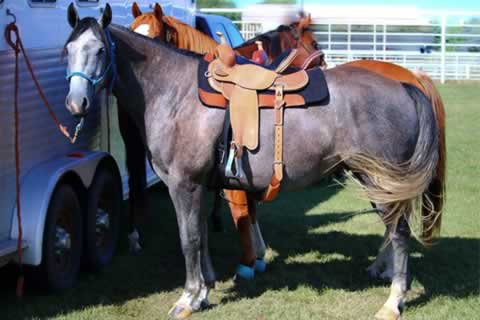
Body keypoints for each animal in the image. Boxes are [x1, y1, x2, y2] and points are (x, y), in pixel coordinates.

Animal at [63, 5, 446, 320]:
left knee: (399, 233)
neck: (175, 92)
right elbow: (201, 235)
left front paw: (187, 298)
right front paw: (203, 292)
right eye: (67, 50)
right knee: (394, 230)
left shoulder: (184, 185)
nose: (76, 103)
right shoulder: (201, 186)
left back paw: (393, 301)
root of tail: (406, 85)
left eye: (100, 50)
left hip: (378, 180)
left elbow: (189, 238)